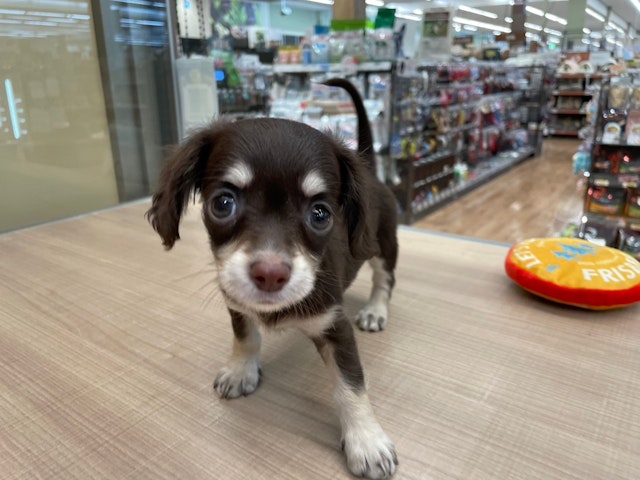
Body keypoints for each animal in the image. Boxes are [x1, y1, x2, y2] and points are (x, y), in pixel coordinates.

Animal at [149, 78, 398, 476]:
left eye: (321, 214)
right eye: (222, 203)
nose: (270, 274)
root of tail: (372, 173)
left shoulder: (336, 328)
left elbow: (351, 385)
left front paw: (366, 440)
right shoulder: (236, 303)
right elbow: (246, 337)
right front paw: (241, 371)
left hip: (383, 247)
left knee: (384, 280)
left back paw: (376, 310)